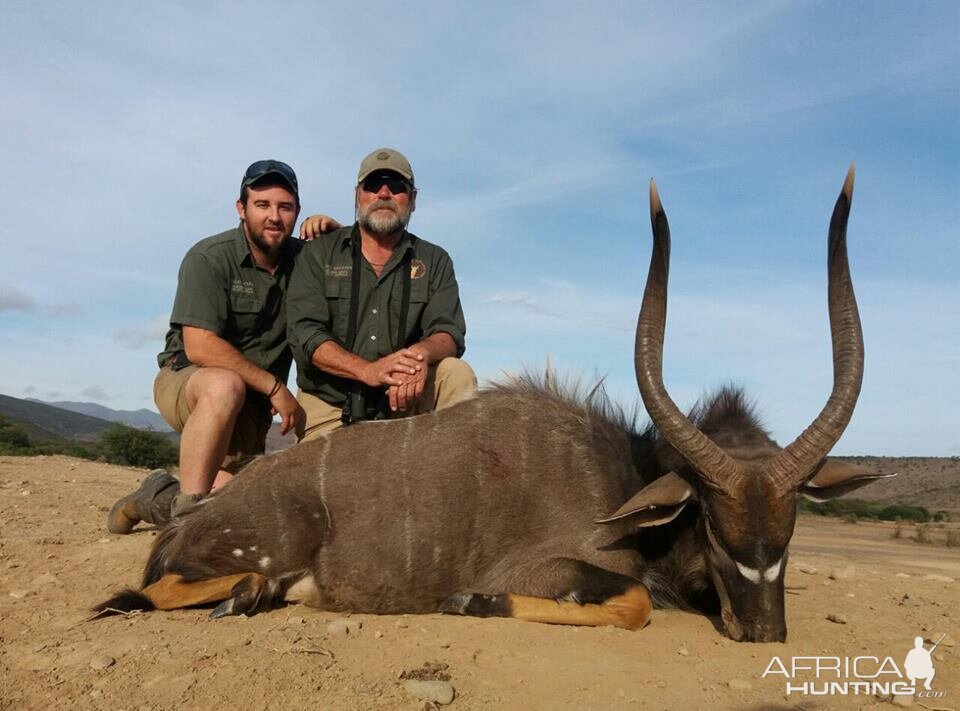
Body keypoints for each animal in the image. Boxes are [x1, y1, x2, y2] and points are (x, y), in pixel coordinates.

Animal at [97, 168, 884, 644]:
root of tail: (196, 517)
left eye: (791, 529)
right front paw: (469, 602)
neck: (619, 474)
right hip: (256, 546)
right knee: (141, 592)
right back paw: (234, 589)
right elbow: (632, 604)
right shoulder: (548, 567)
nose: (765, 633)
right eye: (716, 529)